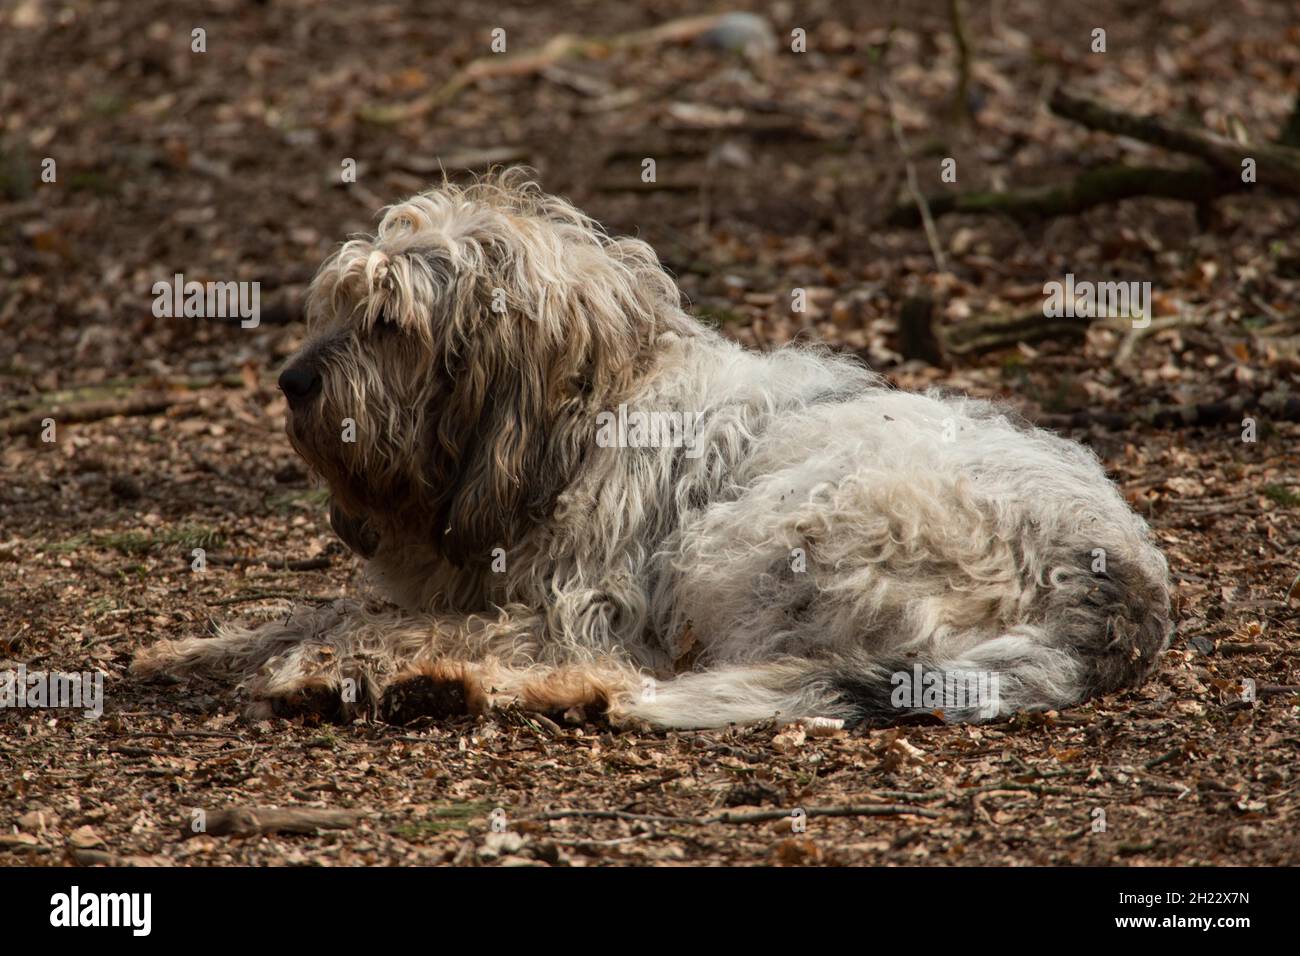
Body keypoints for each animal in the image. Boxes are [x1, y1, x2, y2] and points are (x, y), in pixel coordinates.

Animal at [134, 171, 1180, 728]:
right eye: (342, 305)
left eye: (389, 323)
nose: (292, 382)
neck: (580, 416)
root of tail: (1120, 595)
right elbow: (321, 610)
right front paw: (195, 648)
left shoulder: (580, 605)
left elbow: (407, 626)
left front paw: (334, 661)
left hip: (764, 539)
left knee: (637, 678)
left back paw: (446, 683)